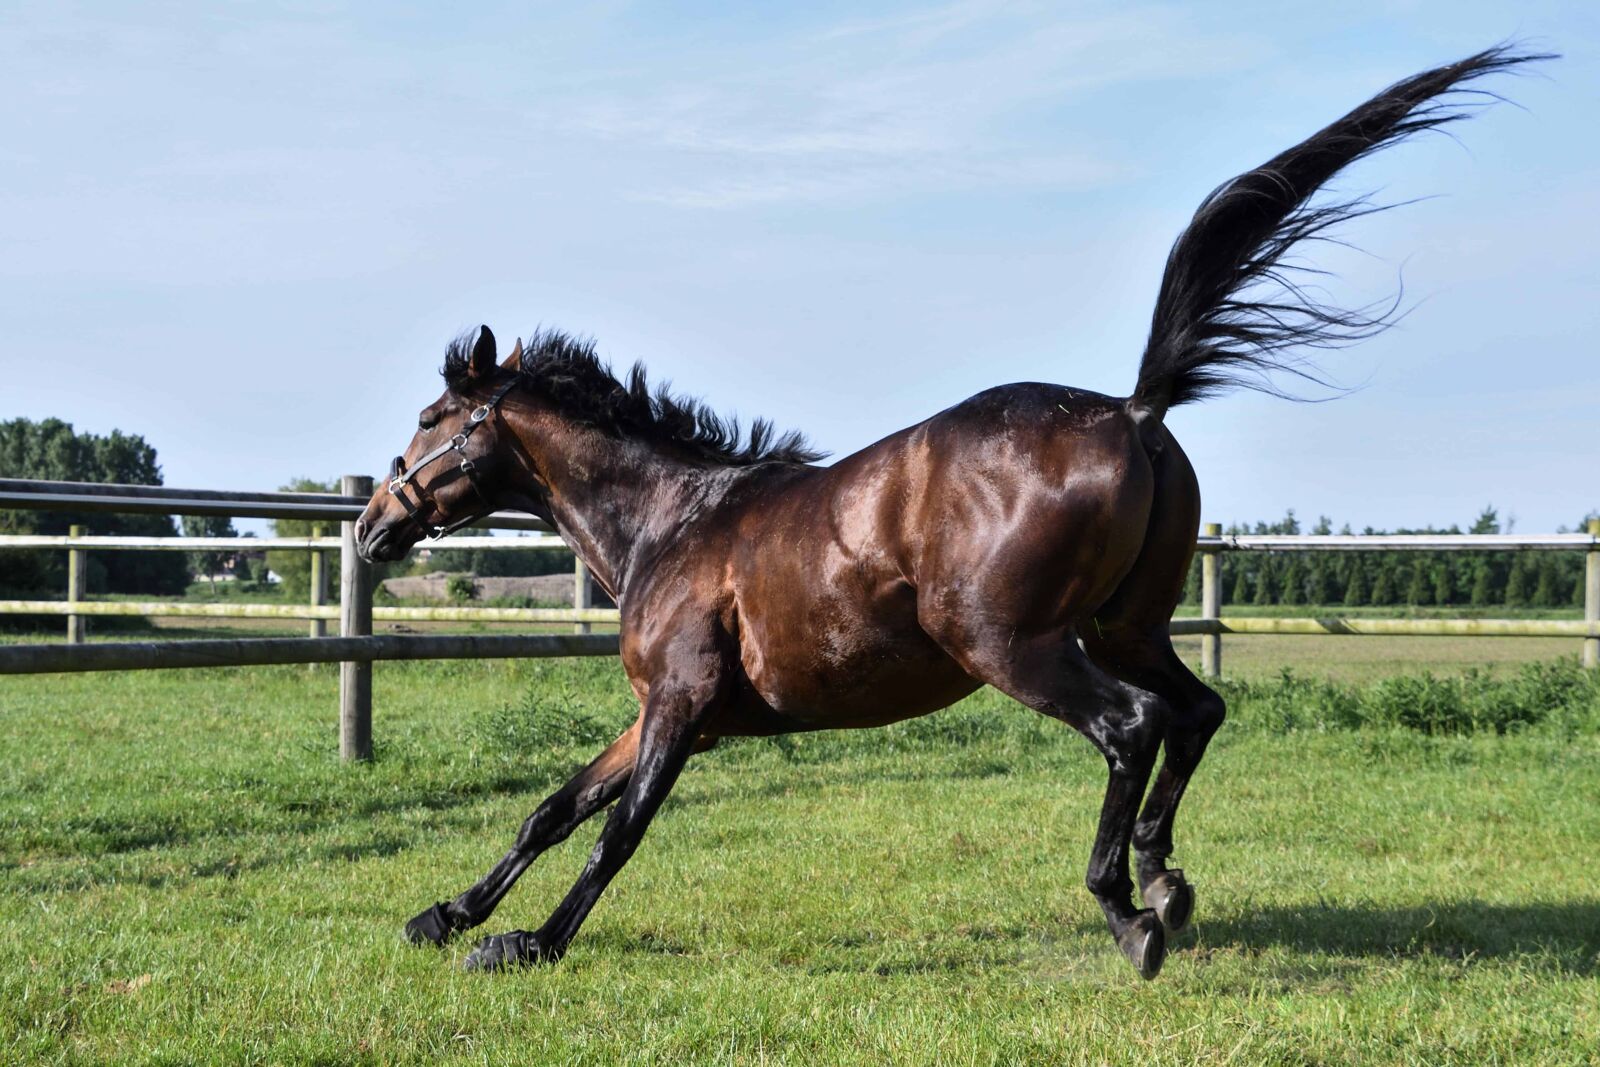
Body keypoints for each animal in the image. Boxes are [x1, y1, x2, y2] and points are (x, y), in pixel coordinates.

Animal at [355, 47, 1545, 978]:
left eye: (429, 419)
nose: (371, 526)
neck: (673, 522)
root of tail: (1132, 410)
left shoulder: (684, 708)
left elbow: (617, 834)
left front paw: (527, 942)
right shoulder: (657, 712)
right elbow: (553, 808)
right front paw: (443, 913)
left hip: (1012, 643)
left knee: (1132, 726)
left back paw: (1128, 909)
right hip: (1125, 625)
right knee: (1195, 711)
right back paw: (1164, 875)